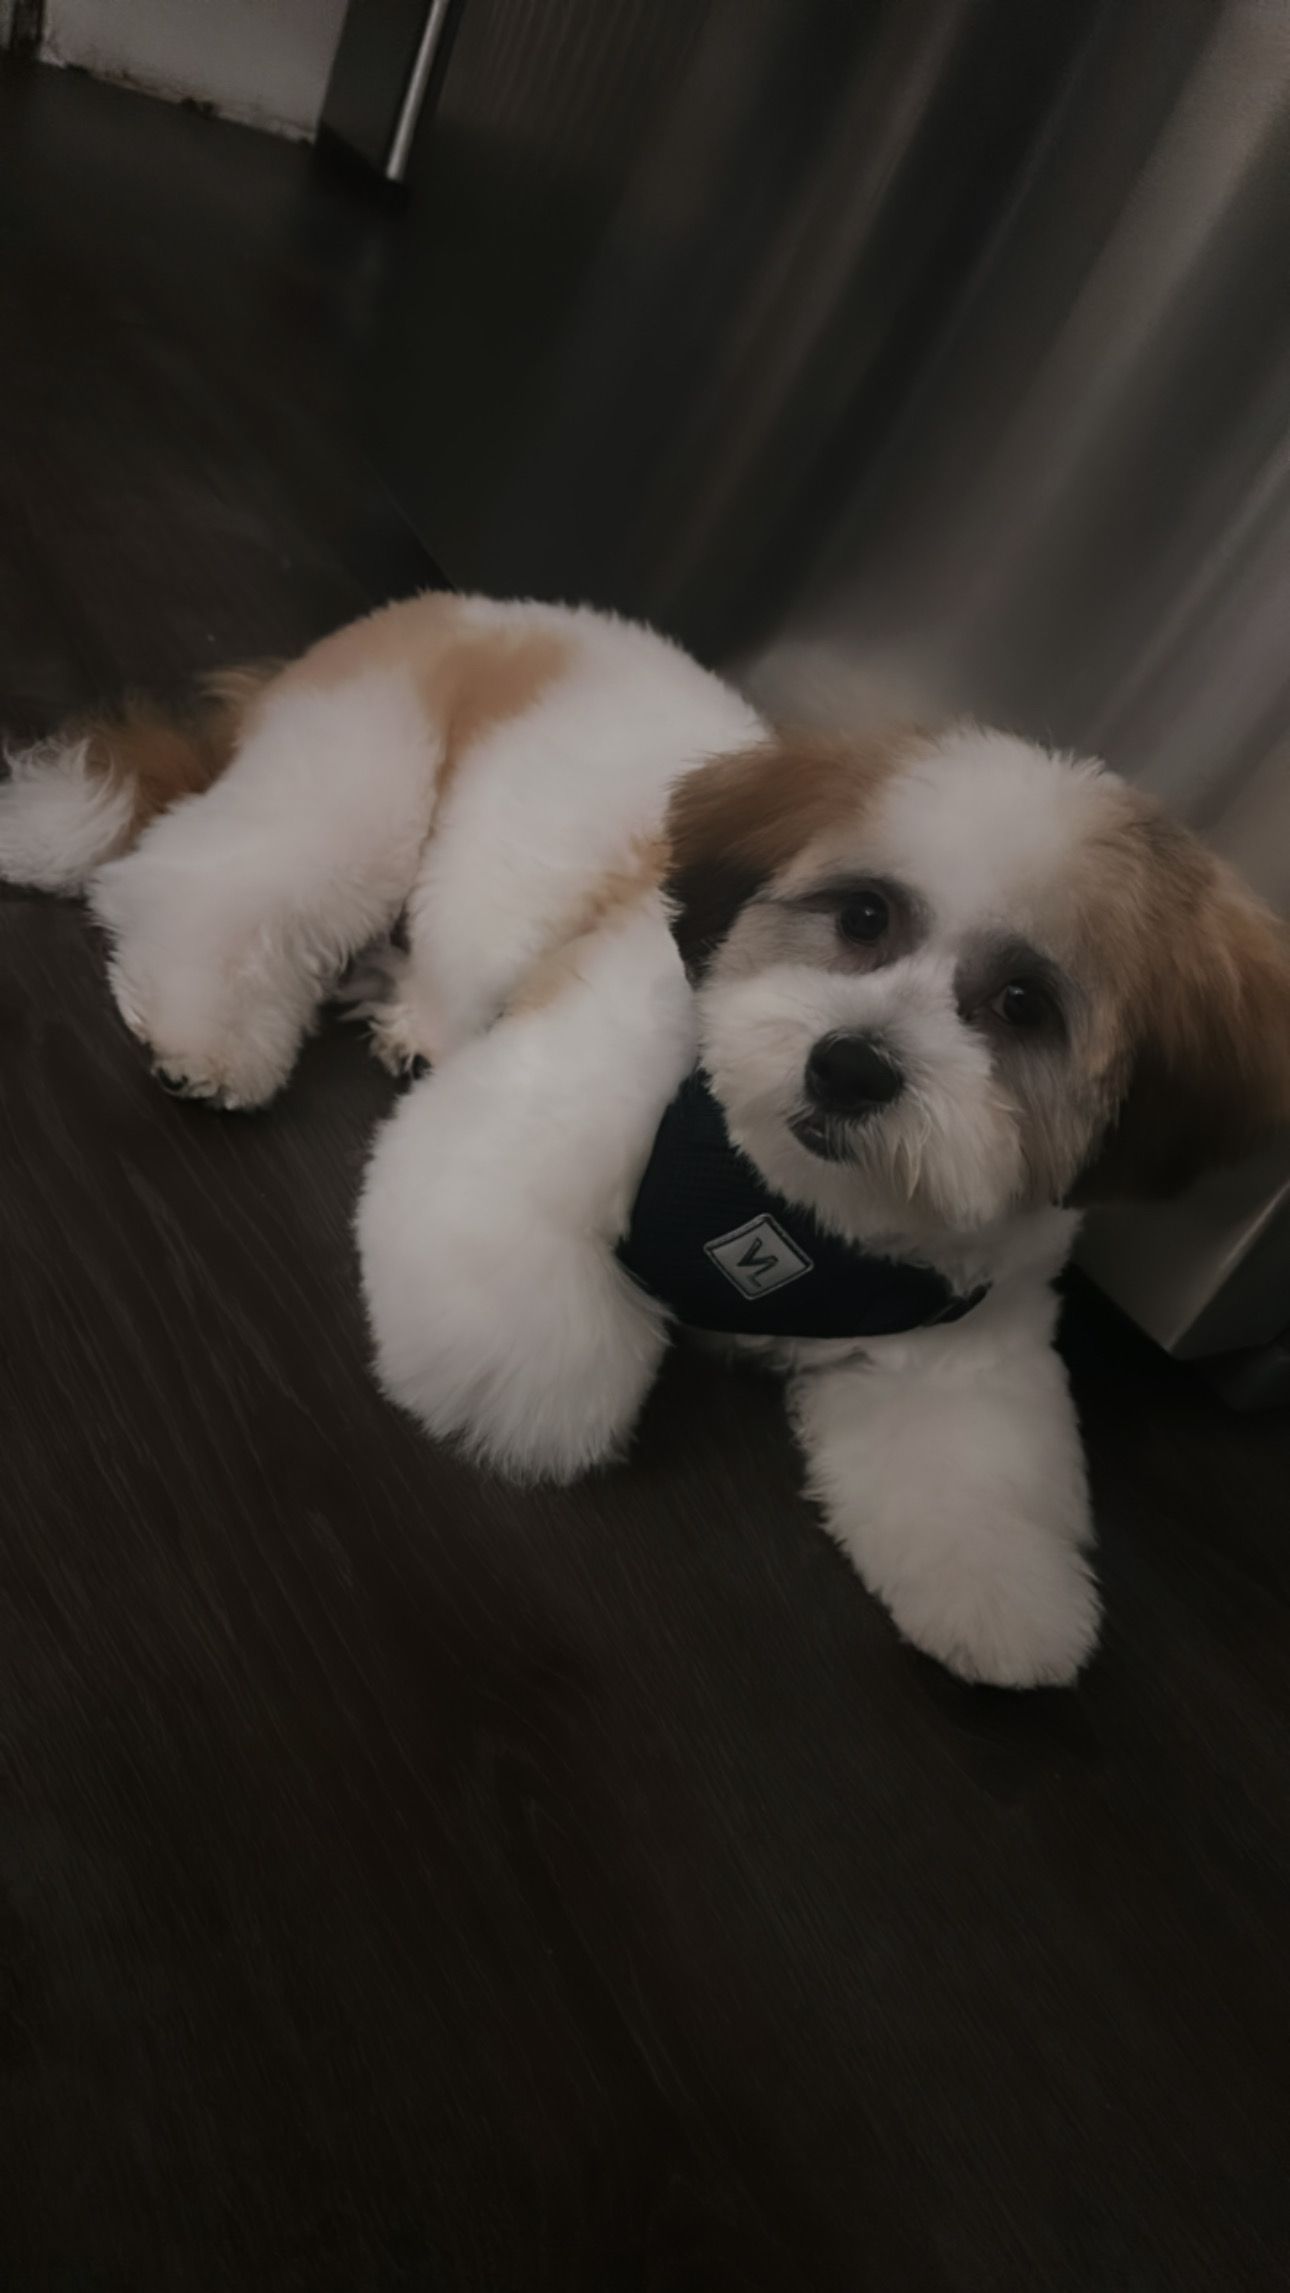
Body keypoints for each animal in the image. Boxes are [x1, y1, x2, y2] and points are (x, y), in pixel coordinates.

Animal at [4, 591, 1289, 1688]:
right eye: (864, 915)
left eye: (1023, 1005)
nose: (850, 1065)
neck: (789, 1200)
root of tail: (455, 606)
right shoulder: (528, 1128)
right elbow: (550, 1337)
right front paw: (533, 1418)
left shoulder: (967, 1334)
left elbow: (981, 1475)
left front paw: (1006, 1607)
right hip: (355, 792)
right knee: (204, 881)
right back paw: (208, 1025)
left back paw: (413, 1015)